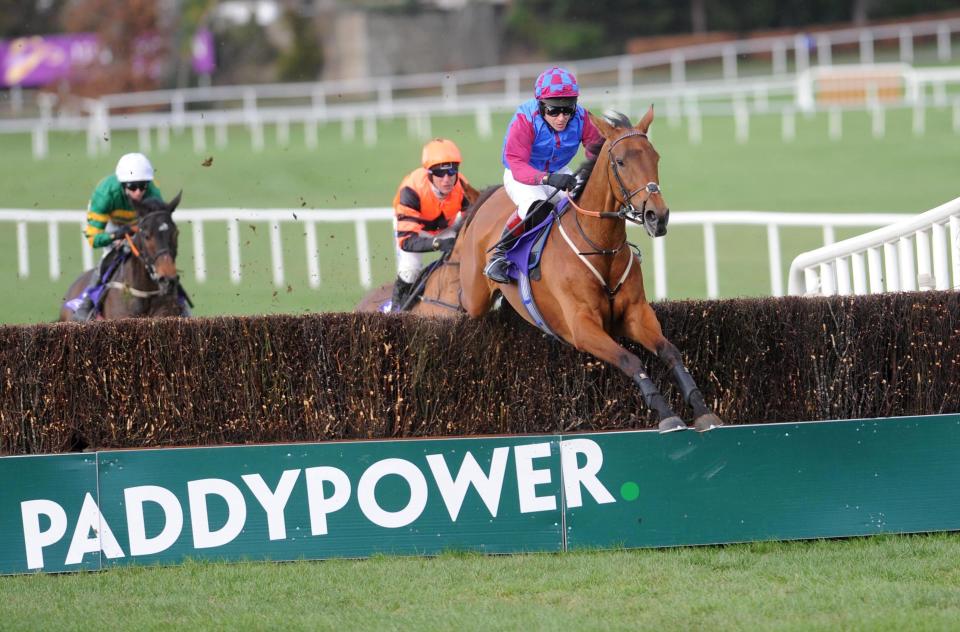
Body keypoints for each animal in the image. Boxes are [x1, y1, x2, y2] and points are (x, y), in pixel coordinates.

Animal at [458, 110, 720, 434]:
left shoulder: (635, 313)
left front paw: (702, 408)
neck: (599, 246)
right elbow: (630, 360)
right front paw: (666, 413)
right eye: (620, 161)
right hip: (474, 296)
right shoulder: (582, 327)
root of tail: (488, 196)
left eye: (655, 157)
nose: (657, 216)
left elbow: (670, 351)